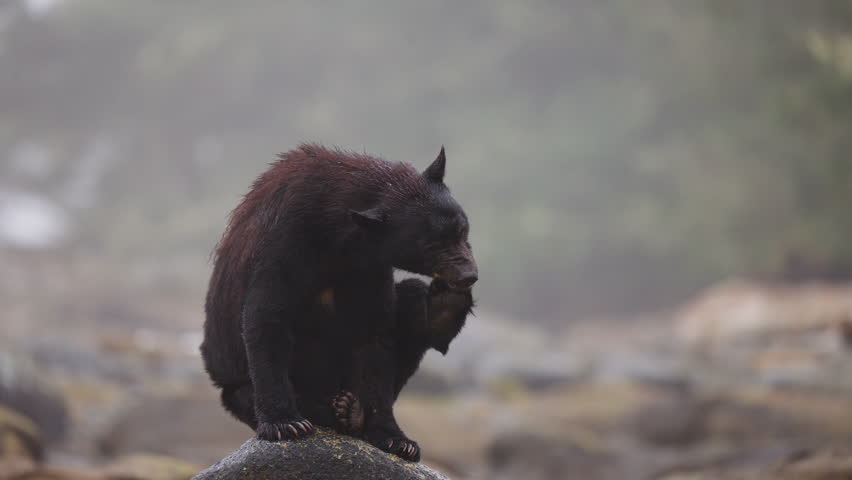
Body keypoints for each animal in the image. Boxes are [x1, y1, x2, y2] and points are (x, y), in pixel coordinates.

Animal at [201, 143, 477, 459]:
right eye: (431, 245)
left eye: (462, 229)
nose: (468, 275)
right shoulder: (284, 242)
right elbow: (267, 318)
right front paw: (285, 424)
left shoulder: (368, 268)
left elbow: (374, 337)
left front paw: (397, 439)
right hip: (233, 381)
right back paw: (331, 411)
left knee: (412, 301)